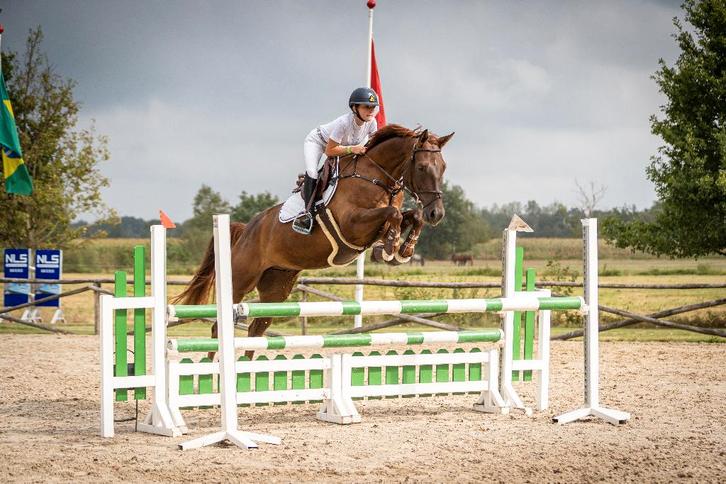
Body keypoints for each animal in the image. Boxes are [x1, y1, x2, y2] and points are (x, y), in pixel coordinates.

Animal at [173, 125, 453, 351]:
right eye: (422, 167)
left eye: (443, 168)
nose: (437, 214)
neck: (376, 177)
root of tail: (245, 230)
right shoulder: (352, 225)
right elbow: (393, 213)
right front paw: (390, 248)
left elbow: (411, 216)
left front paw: (403, 250)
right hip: (240, 281)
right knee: (218, 328)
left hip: (277, 286)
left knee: (256, 330)